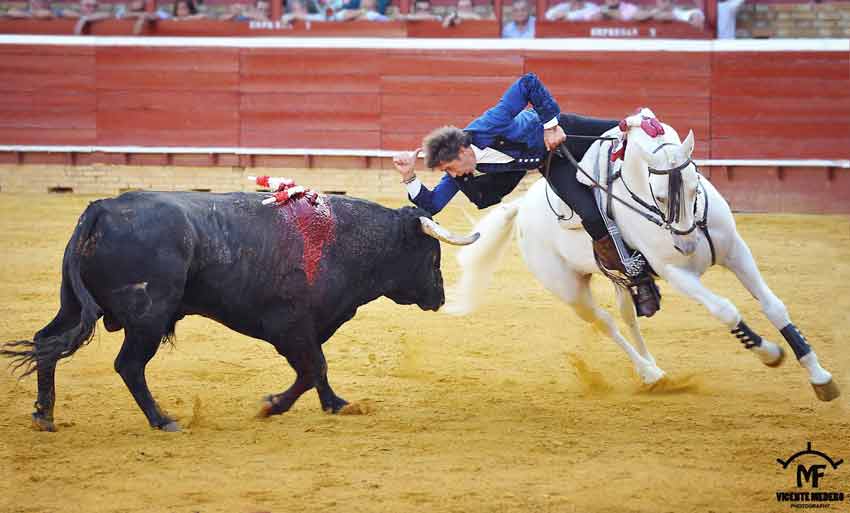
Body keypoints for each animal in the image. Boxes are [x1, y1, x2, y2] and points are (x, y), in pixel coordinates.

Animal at [0, 190, 474, 430]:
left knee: (46, 343)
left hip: (74, 305)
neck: (342, 240)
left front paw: (336, 404)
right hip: (148, 317)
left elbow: (318, 369)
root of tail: (101, 209)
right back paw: (162, 420)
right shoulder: (289, 325)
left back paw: (44, 415)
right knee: (129, 365)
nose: (439, 297)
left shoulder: (308, 327)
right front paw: (273, 405)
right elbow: (311, 368)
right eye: (432, 254)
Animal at [448, 110, 840, 402]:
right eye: (661, 196)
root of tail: (521, 206)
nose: (688, 247)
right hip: (569, 289)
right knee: (605, 323)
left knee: (628, 318)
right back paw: (649, 372)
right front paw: (769, 353)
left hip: (620, 278)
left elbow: (774, 306)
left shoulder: (736, 251)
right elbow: (725, 310)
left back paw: (658, 373)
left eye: (696, 184)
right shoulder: (676, 272)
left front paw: (820, 378)